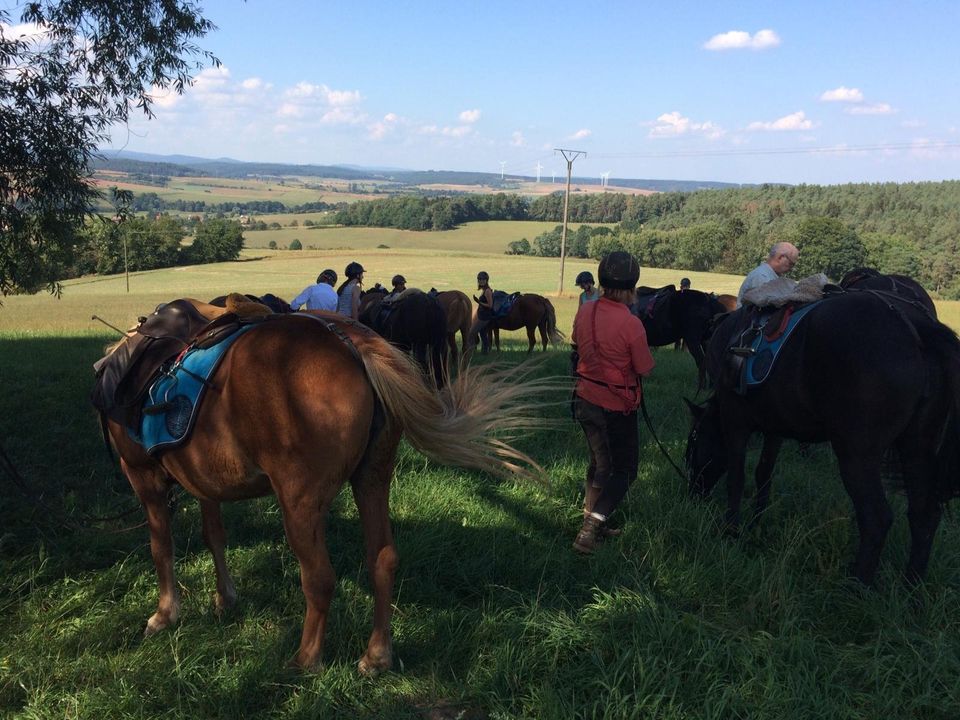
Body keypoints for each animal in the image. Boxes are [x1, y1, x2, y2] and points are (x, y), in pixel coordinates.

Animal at [99, 310, 548, 676]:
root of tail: (350, 341)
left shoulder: (144, 479)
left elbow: (162, 549)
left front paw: (165, 614)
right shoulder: (205, 482)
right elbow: (215, 538)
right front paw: (224, 598)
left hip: (299, 502)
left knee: (319, 578)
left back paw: (306, 659)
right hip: (372, 480)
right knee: (383, 559)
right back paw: (376, 656)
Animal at [688, 288, 960, 584]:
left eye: (693, 444)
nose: (693, 493)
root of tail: (915, 326)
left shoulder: (735, 421)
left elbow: (736, 479)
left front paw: (730, 531)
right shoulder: (774, 428)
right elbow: (763, 475)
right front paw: (756, 522)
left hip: (857, 456)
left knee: (876, 518)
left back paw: (857, 584)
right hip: (916, 450)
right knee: (923, 515)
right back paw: (912, 586)